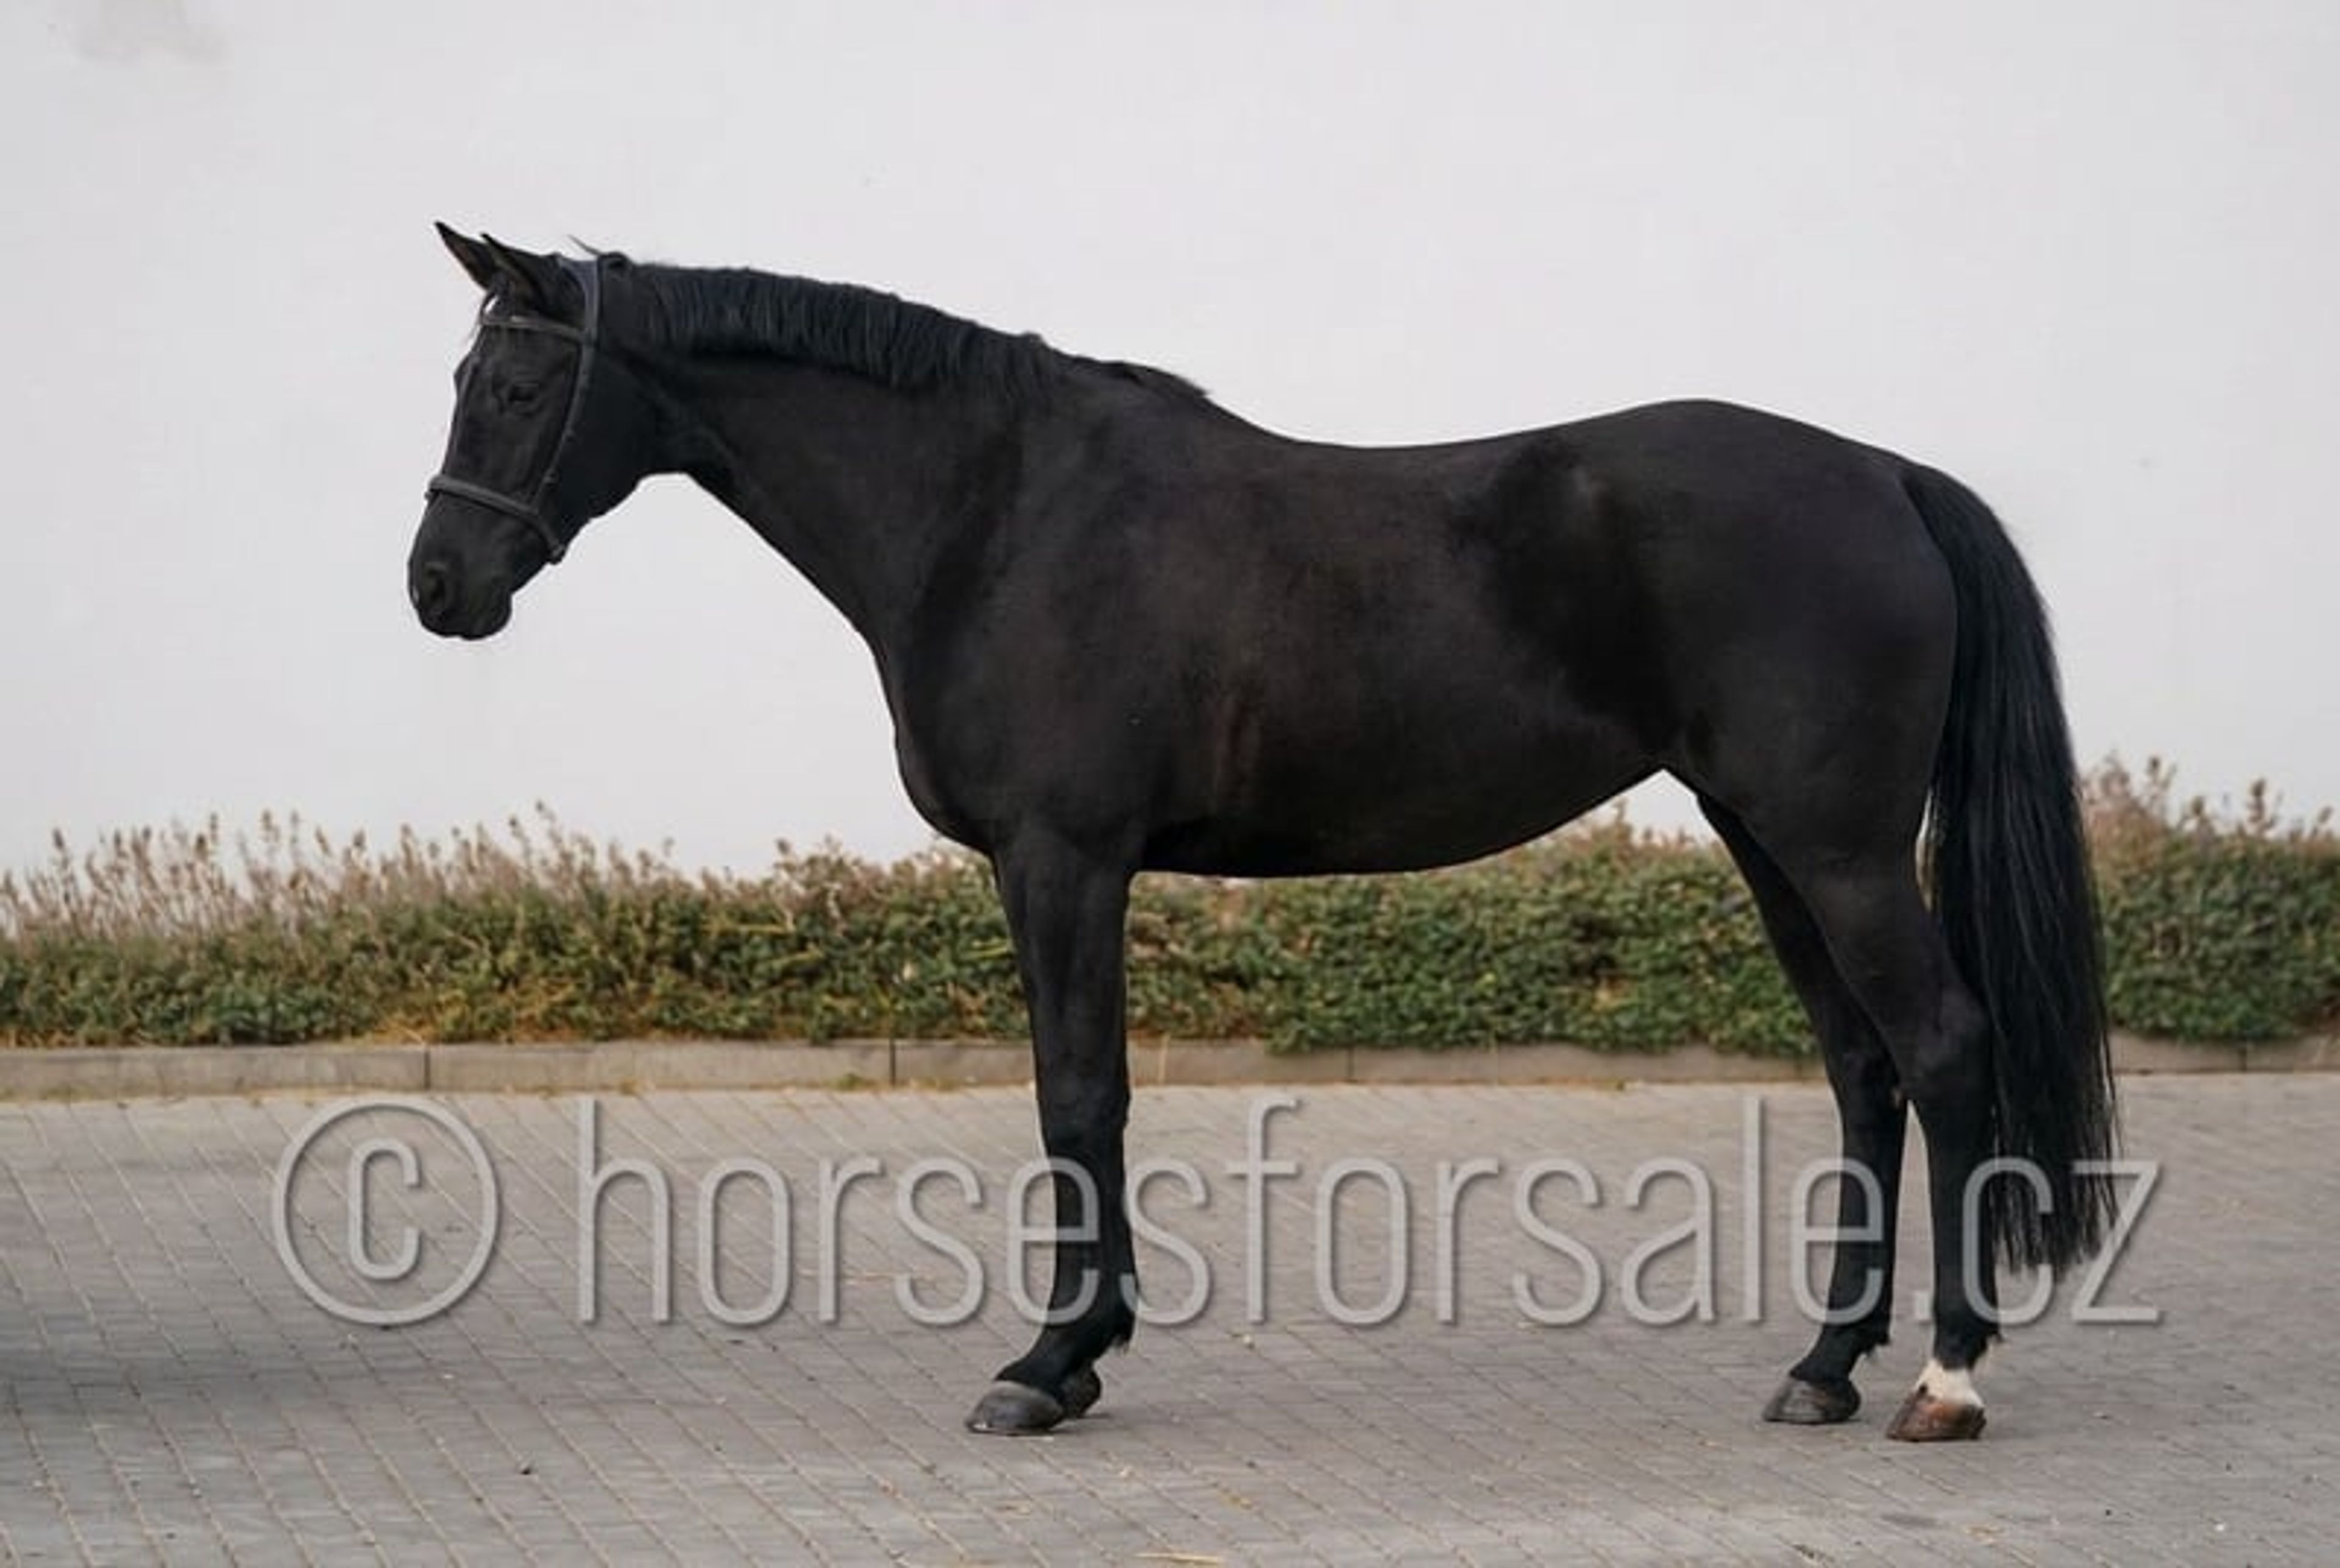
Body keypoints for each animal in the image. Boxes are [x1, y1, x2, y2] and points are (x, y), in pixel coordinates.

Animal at [407, 226, 2118, 1441]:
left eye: (515, 388)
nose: (439, 586)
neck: (995, 511)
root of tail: (1884, 475)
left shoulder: (1063, 857)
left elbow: (1078, 1093)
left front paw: (1049, 1360)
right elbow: (1084, 1096)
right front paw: (1081, 1351)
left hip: (1834, 847)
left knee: (1942, 1045)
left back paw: (1944, 1379)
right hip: (1768, 839)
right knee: (1863, 1067)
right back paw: (1824, 1363)